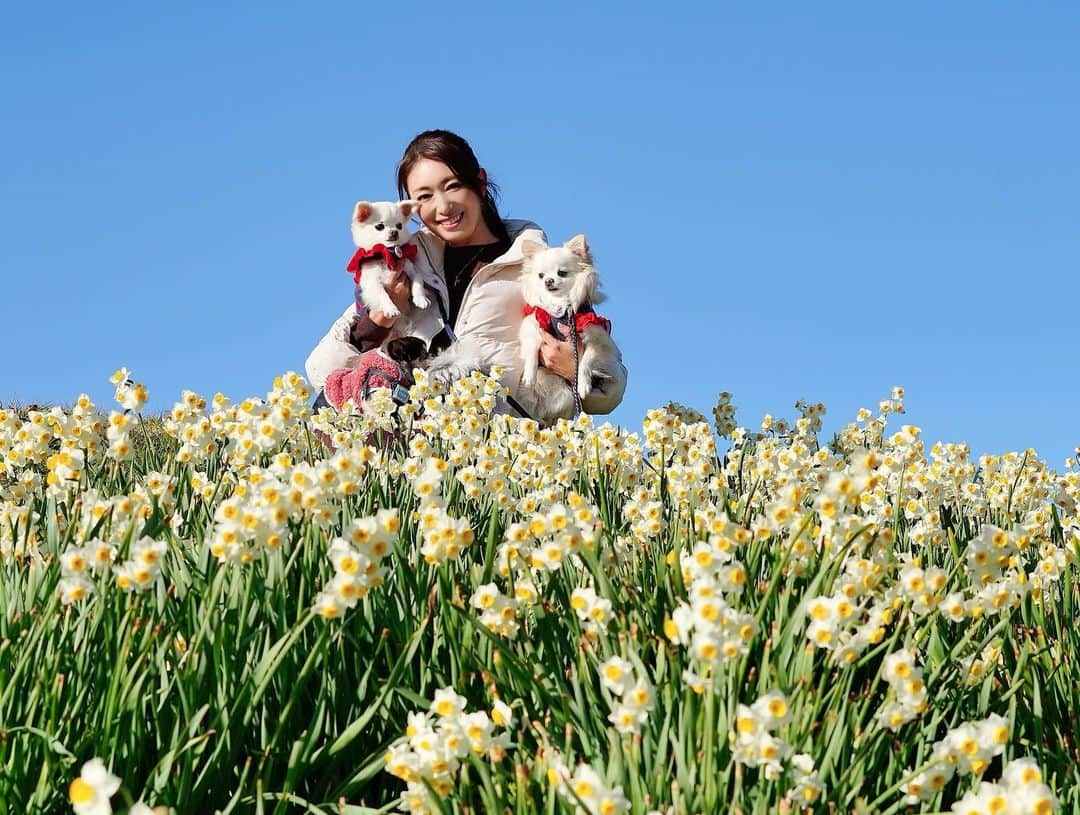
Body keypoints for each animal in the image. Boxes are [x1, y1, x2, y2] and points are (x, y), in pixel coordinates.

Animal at [518, 233, 622, 423]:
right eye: (541, 275)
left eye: (562, 273)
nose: (548, 281)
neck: (562, 308)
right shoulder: (533, 325)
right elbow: (531, 351)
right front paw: (529, 376)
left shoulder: (598, 338)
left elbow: (585, 361)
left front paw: (584, 384)